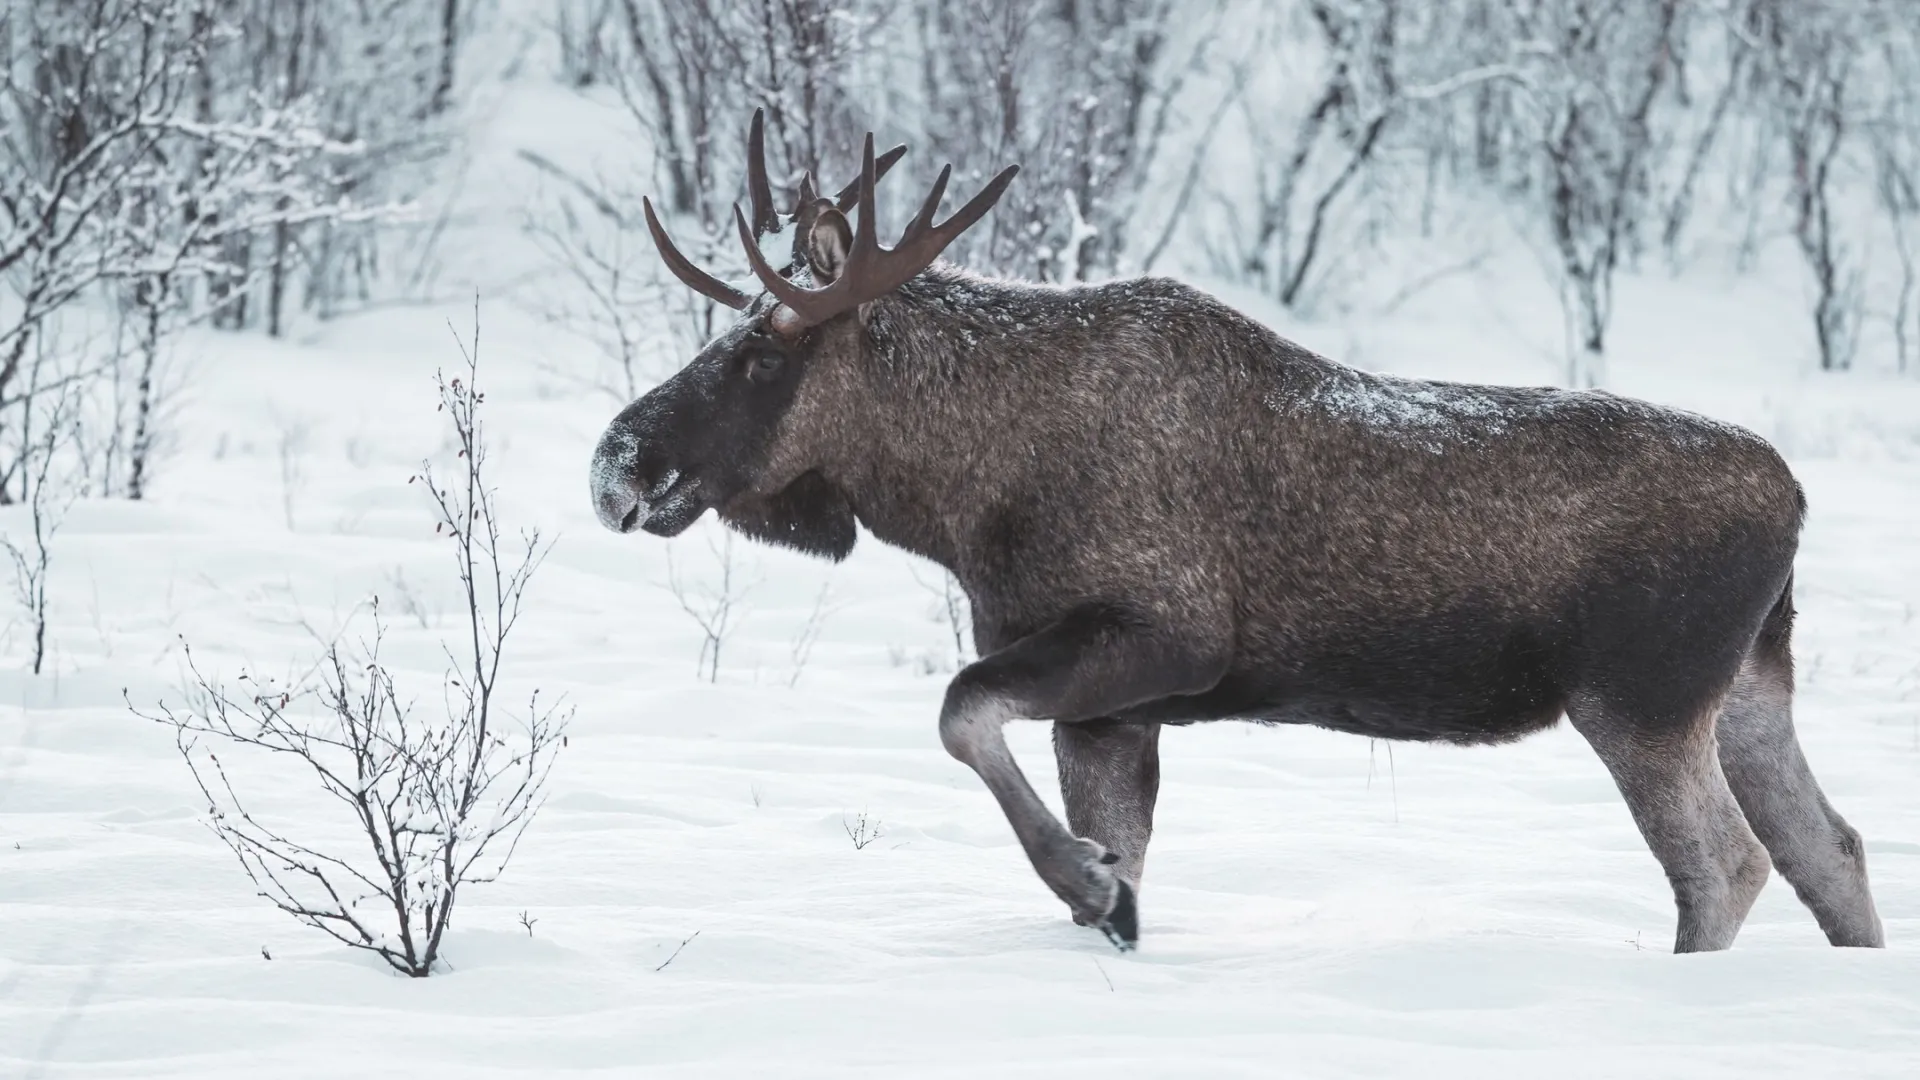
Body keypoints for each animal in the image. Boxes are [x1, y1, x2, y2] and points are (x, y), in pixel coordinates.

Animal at [579, 111, 1873, 949]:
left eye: (761, 356)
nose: (615, 466)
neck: (961, 498)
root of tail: (1798, 503)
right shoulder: (1112, 708)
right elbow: (1087, 825)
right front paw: (1106, 897)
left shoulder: (1165, 638)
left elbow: (958, 711)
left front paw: (1086, 881)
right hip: (1748, 689)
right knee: (1835, 851)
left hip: (1640, 699)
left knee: (1728, 869)